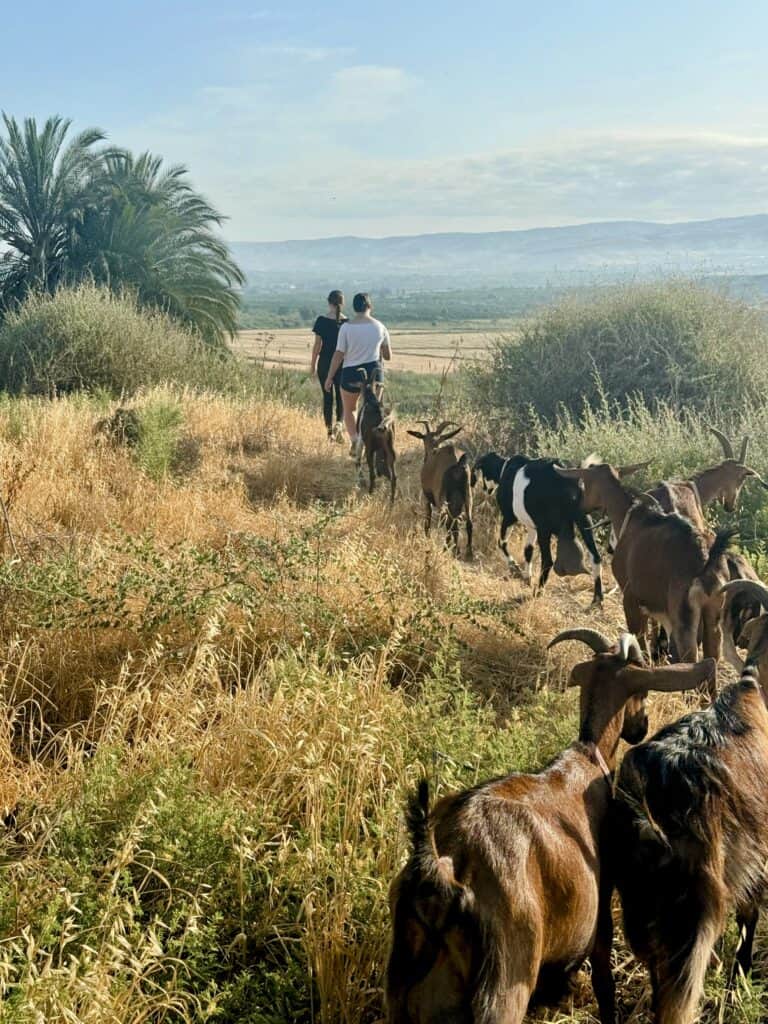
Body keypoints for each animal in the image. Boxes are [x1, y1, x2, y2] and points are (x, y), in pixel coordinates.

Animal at [355, 371, 397, 504]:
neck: (370, 399)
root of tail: (383, 421)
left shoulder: (361, 439)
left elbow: (358, 457)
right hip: (390, 451)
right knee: (394, 477)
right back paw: (391, 501)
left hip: (370, 449)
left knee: (372, 474)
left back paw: (369, 493)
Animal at [385, 628, 715, 1024]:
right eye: (643, 692)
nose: (641, 728)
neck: (586, 755)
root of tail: (444, 871)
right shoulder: (601, 908)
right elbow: (604, 982)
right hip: (504, 988)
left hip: (400, 994)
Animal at [407, 420, 473, 557]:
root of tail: (457, 461)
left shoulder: (427, 498)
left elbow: (428, 520)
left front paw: (427, 538)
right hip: (468, 494)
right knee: (467, 522)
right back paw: (467, 553)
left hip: (441, 496)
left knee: (447, 521)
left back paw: (446, 548)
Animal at [474, 452, 646, 606]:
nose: (486, 490)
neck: (504, 469)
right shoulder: (532, 526)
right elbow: (528, 551)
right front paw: (527, 577)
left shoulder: (510, 517)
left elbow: (501, 543)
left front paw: (514, 567)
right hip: (583, 520)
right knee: (596, 558)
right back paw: (597, 599)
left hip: (545, 528)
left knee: (548, 561)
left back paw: (538, 592)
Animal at [557, 462, 733, 679]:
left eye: (585, 483)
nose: (579, 508)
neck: (630, 516)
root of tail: (705, 559)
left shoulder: (630, 598)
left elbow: (639, 641)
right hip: (713, 616)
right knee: (712, 659)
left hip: (684, 619)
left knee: (691, 661)